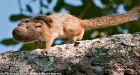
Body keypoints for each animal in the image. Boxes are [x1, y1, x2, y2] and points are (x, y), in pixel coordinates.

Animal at [12, 6, 140, 52]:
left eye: (26, 21)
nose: (17, 25)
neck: (37, 31)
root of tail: (79, 20)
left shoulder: (48, 33)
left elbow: (49, 41)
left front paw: (45, 50)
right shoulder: (38, 38)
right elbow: (39, 43)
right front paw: (39, 48)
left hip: (69, 27)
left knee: (81, 29)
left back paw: (79, 36)